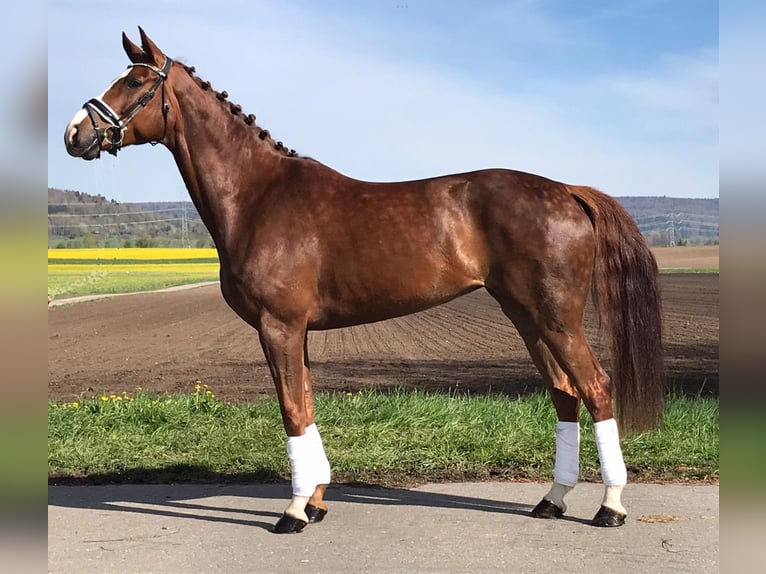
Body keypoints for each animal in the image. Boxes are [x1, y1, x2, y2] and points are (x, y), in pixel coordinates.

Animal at [64, 28, 664, 536]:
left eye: (134, 81)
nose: (76, 133)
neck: (259, 195)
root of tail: (567, 190)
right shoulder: (297, 332)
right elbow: (305, 405)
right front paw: (315, 502)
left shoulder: (278, 327)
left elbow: (291, 410)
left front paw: (292, 513)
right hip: (527, 318)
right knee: (565, 394)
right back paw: (551, 500)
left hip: (557, 318)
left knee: (596, 388)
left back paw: (610, 507)